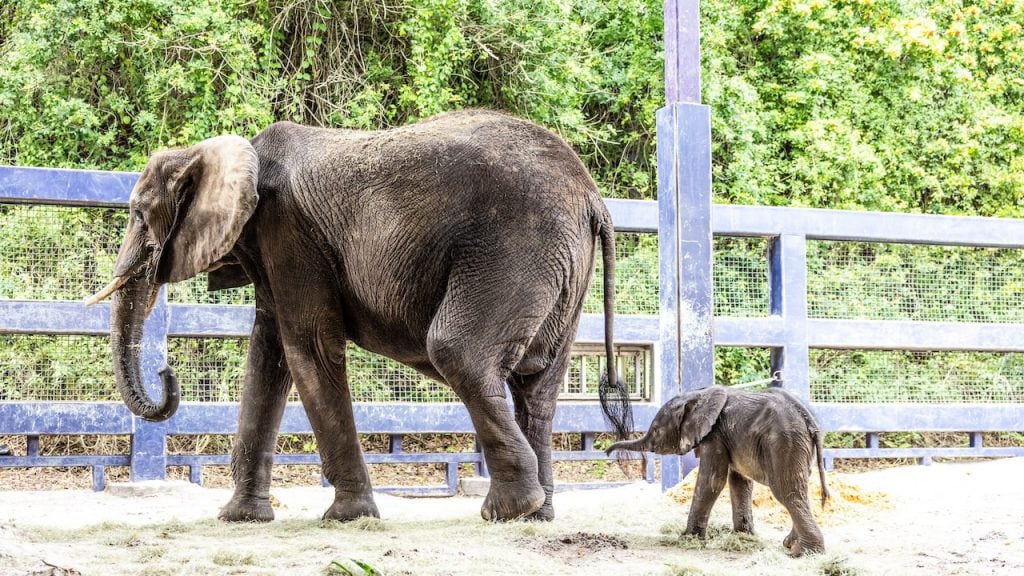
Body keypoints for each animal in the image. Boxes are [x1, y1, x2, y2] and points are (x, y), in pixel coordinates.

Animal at [88, 109, 630, 522]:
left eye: (138, 215)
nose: (167, 373)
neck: (225, 150)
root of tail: (593, 198)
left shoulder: (290, 234)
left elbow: (307, 348)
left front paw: (347, 518)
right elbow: (268, 358)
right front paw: (239, 519)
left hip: (516, 245)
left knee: (459, 353)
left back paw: (509, 510)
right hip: (560, 266)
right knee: (536, 385)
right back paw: (537, 515)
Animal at [602, 383, 827, 553]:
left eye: (656, 430)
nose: (607, 452)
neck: (697, 395)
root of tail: (810, 421)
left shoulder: (714, 435)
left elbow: (712, 482)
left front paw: (688, 539)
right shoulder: (730, 438)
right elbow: (739, 483)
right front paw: (743, 537)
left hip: (784, 442)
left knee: (787, 492)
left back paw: (803, 552)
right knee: (800, 490)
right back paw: (790, 544)